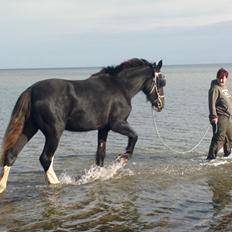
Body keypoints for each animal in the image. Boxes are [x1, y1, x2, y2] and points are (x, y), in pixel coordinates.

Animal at [0, 57, 165, 192]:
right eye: (161, 82)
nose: (160, 105)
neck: (120, 87)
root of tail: (31, 90)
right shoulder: (117, 124)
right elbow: (134, 136)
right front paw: (122, 158)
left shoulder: (103, 129)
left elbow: (100, 155)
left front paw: (97, 175)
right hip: (54, 133)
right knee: (45, 158)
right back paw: (56, 183)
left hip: (30, 128)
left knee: (12, 154)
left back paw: (2, 186)